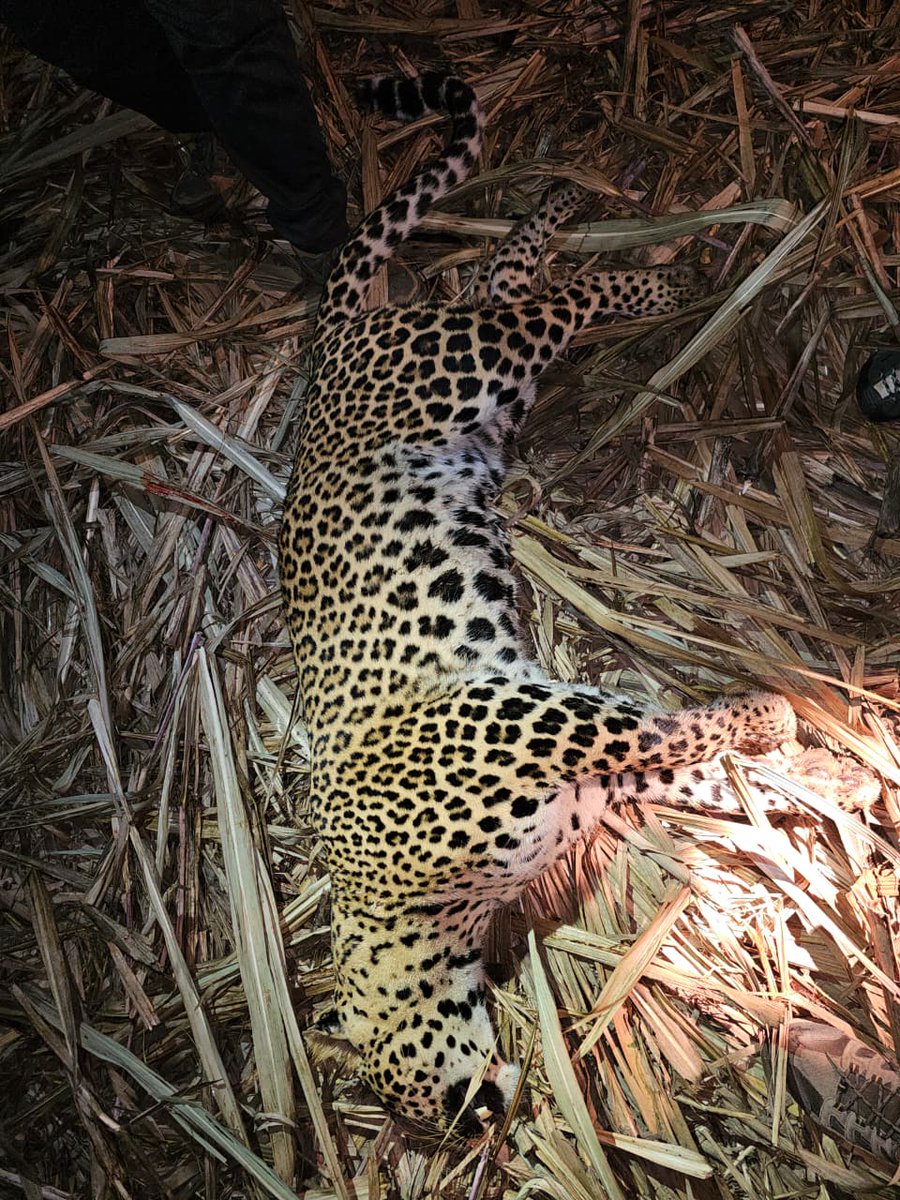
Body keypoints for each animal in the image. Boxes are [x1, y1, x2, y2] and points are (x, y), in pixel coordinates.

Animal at [277, 73, 801, 1136]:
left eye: (427, 1104)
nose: (490, 1118)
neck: (415, 914)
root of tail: (333, 341)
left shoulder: (518, 717)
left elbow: (659, 727)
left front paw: (768, 717)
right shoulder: (578, 772)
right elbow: (668, 758)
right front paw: (773, 778)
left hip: (461, 364)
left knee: (546, 299)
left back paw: (660, 278)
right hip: (491, 397)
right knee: (503, 278)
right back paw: (559, 207)